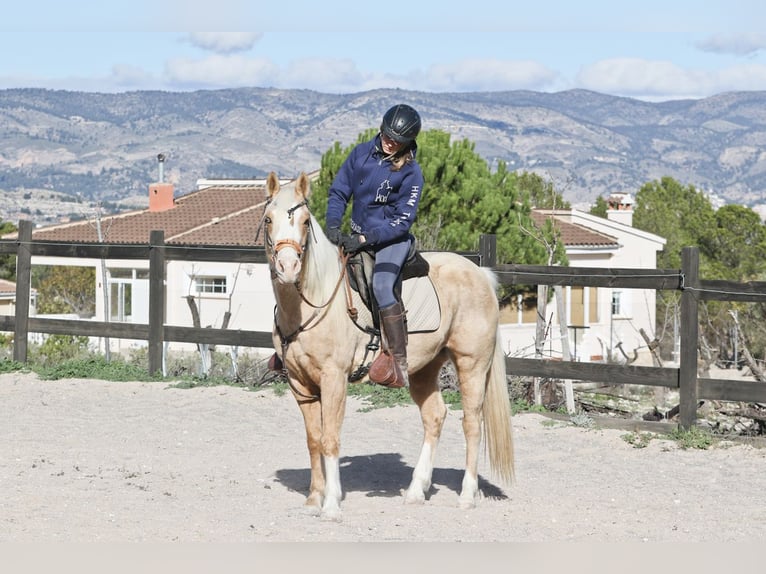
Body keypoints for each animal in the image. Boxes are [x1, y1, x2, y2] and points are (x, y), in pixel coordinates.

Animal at [264, 171, 516, 520]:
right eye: (268, 219)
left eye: (304, 221)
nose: (287, 268)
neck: (315, 300)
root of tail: (481, 274)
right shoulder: (299, 383)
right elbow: (313, 439)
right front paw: (314, 498)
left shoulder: (334, 379)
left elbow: (330, 439)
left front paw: (331, 504)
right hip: (424, 368)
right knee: (435, 417)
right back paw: (416, 491)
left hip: (472, 365)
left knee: (472, 423)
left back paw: (467, 495)